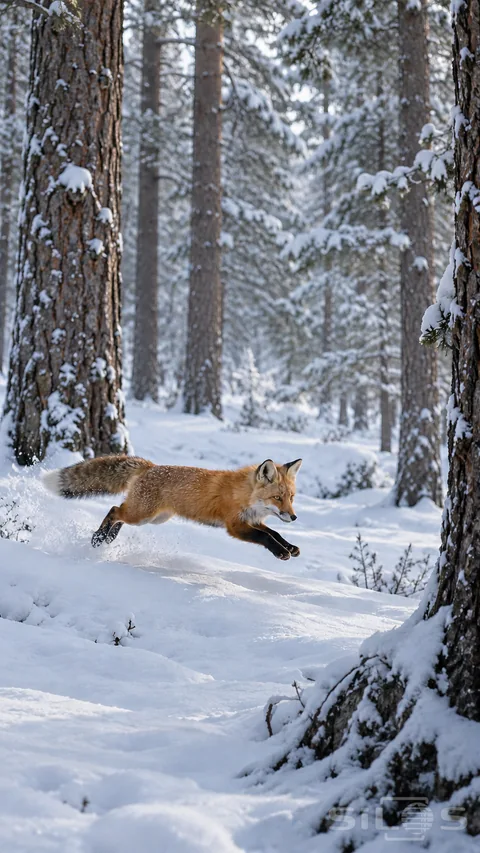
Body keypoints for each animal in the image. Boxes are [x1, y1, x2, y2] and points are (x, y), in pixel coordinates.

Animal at [42, 455, 303, 560]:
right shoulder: (235, 526)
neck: (244, 494)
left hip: (155, 518)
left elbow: (274, 532)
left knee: (118, 513)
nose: (293, 517)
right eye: (277, 498)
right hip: (142, 515)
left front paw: (290, 546)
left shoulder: (253, 520)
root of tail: (150, 466)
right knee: (115, 509)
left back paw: (107, 538)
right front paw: (281, 552)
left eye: (291, 497)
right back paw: (98, 538)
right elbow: (265, 538)